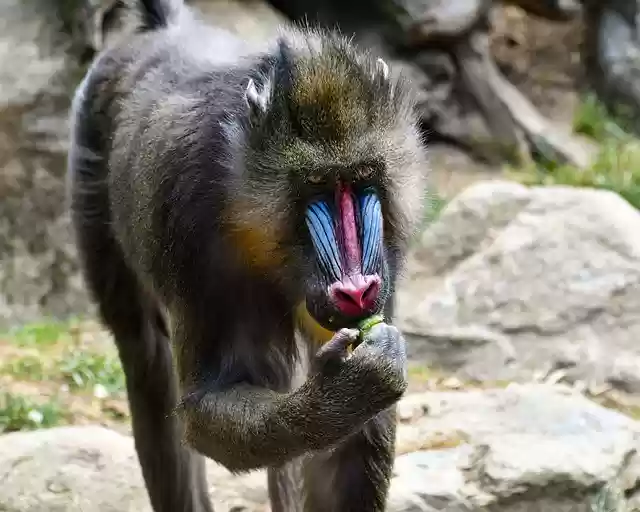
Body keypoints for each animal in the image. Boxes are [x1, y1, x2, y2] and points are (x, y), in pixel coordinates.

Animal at [67, 0, 428, 511]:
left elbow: (350, 448)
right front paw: (349, 387)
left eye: (361, 178)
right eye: (316, 184)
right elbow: (208, 402)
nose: (356, 291)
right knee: (148, 359)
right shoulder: (186, 211)